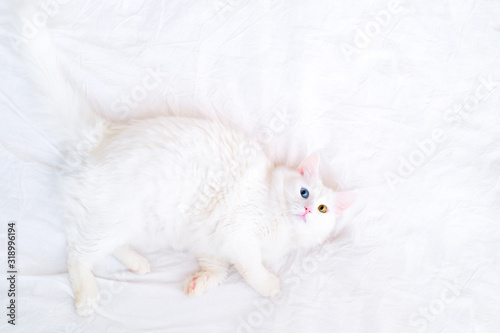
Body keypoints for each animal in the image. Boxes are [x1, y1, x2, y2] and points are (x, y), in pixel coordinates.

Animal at [22, 22, 356, 314]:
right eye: (304, 192)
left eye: (323, 208)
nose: (308, 209)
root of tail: (100, 135)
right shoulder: (239, 238)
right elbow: (251, 269)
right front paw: (270, 286)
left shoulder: (213, 245)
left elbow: (217, 271)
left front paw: (197, 285)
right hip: (111, 221)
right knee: (77, 254)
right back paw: (88, 298)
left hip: (127, 226)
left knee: (106, 247)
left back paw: (137, 263)